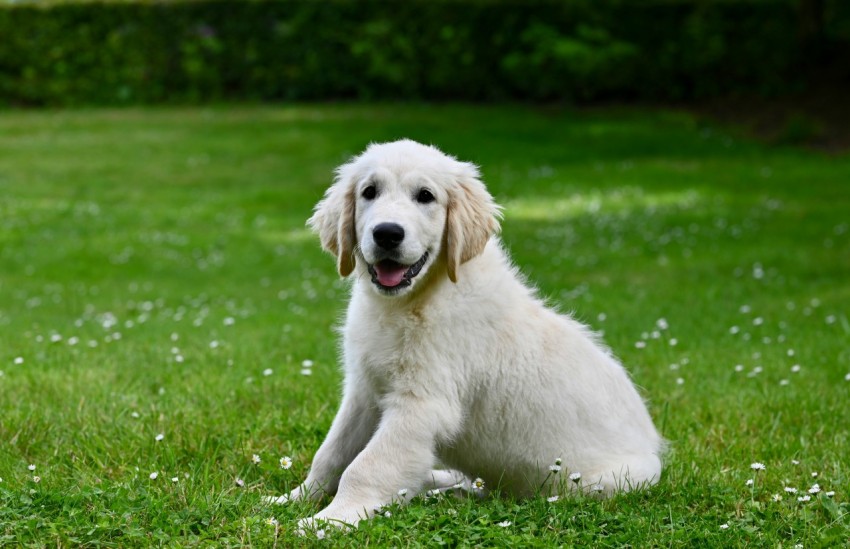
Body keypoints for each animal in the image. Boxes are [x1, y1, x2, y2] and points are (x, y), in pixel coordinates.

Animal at [272, 139, 664, 528]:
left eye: (425, 196)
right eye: (369, 192)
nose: (387, 233)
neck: (412, 301)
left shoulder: (421, 403)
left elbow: (367, 466)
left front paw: (327, 521)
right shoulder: (364, 391)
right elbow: (331, 453)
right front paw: (292, 500)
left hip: (605, 483)